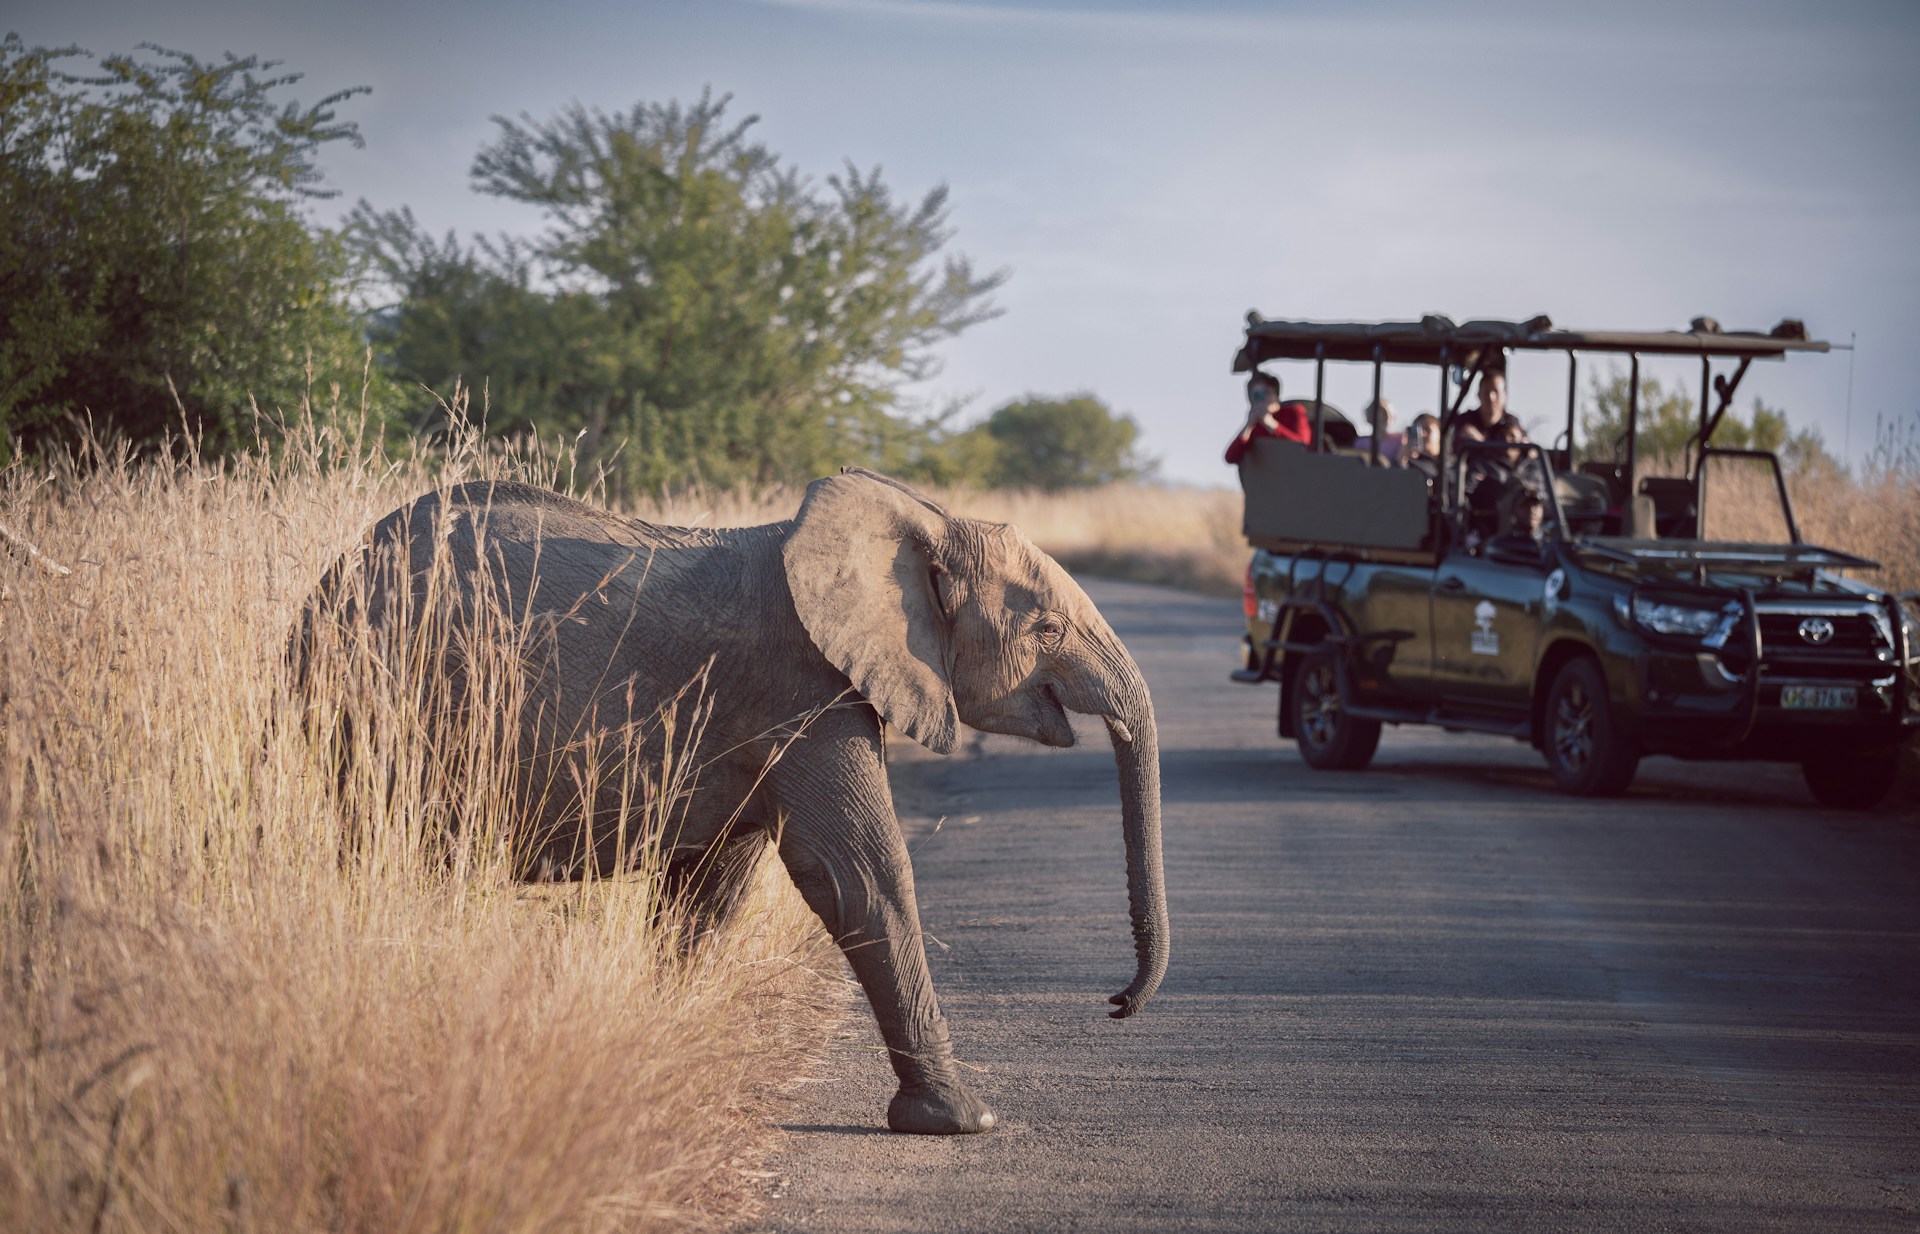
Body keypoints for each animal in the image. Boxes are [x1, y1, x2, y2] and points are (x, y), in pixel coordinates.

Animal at [294, 468, 1169, 1135]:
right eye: (1047, 627)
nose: (1116, 1004)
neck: (915, 518)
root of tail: (324, 584)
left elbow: (712, 886)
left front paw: (660, 1051)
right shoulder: (803, 687)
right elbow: (859, 873)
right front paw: (960, 1122)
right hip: (382, 701)